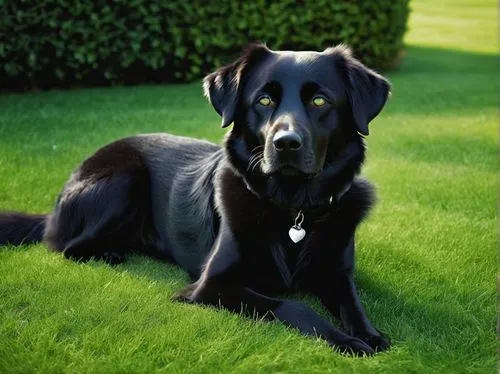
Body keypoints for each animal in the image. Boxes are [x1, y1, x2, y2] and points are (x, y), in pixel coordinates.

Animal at [0, 44, 390, 356]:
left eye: (320, 100)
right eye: (263, 100)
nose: (286, 144)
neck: (293, 209)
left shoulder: (336, 273)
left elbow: (353, 303)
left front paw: (369, 334)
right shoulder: (211, 285)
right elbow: (294, 308)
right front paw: (345, 340)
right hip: (124, 180)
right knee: (65, 246)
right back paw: (110, 252)